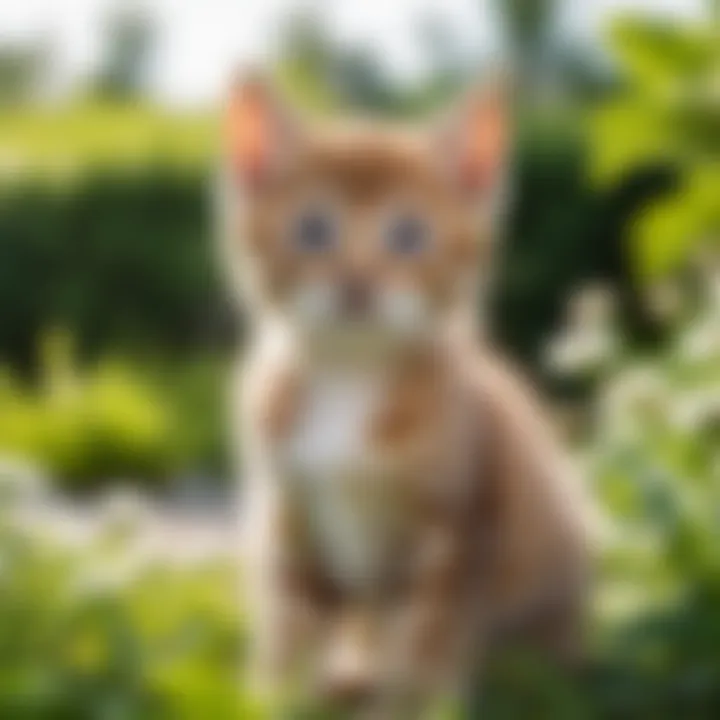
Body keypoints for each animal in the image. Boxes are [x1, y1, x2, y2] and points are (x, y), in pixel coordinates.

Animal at [222, 71, 592, 716]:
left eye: (409, 235)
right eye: (313, 230)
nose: (357, 283)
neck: (349, 375)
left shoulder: (456, 528)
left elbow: (427, 639)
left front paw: (415, 703)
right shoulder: (289, 516)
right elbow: (292, 626)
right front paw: (278, 696)